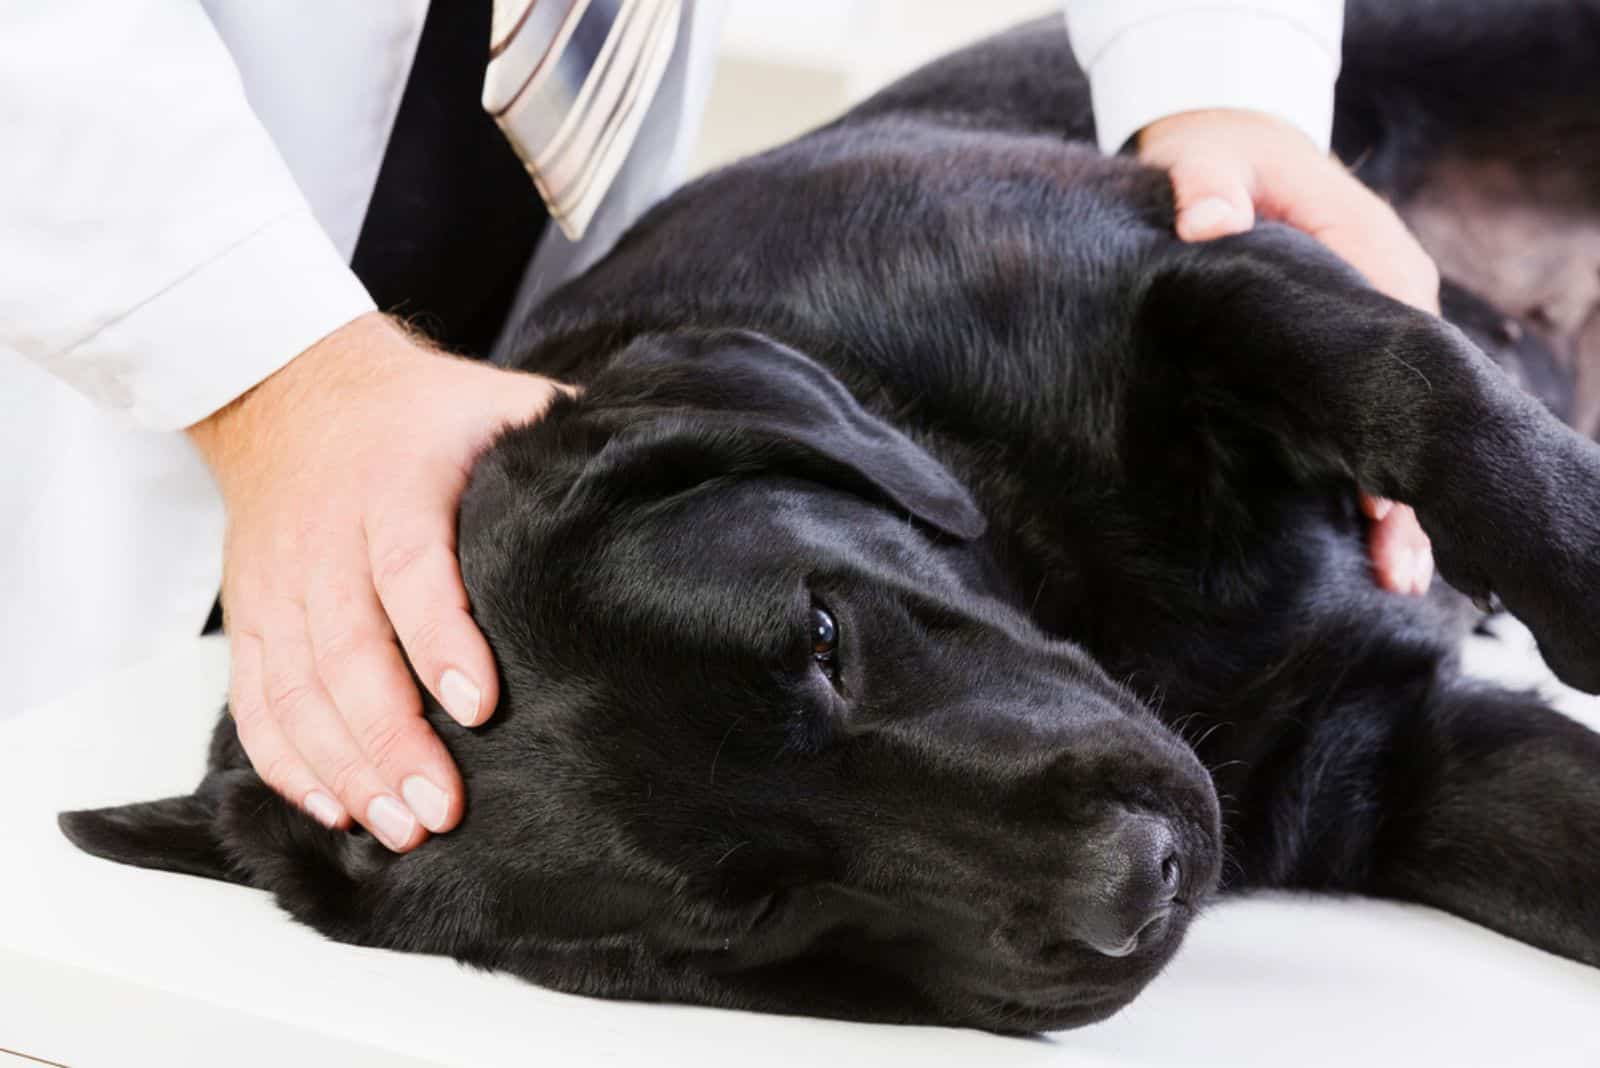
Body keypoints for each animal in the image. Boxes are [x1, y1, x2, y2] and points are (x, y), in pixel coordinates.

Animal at [62, 0, 1600, 1036]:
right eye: (748, 917)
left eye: (821, 636)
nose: (1137, 881)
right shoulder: (1389, 770)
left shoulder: (1203, 268)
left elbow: (1422, 391)